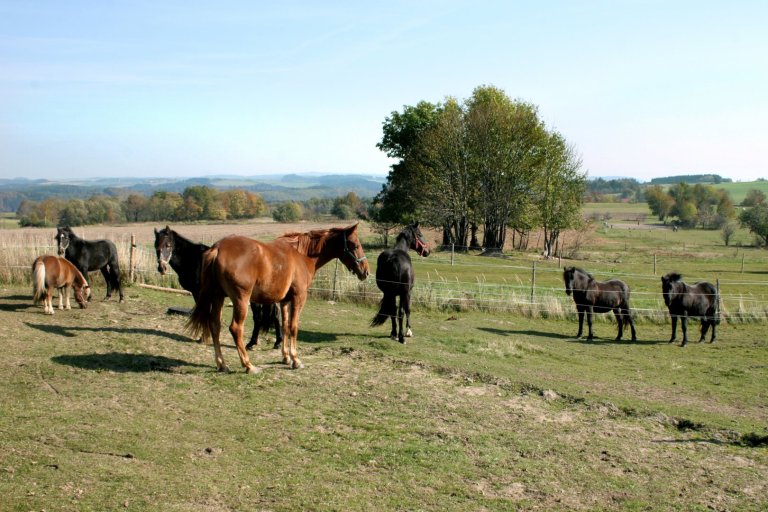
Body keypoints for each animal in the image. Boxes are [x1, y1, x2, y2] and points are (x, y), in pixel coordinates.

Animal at [153, 226, 282, 350]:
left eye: (168, 245)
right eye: (156, 245)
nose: (161, 268)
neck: (193, 259)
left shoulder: (198, 293)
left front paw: (203, 338)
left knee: (260, 317)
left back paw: (259, 343)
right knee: (272, 316)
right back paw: (270, 343)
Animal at [184, 224, 368, 372]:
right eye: (355, 245)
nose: (365, 271)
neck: (302, 255)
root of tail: (218, 248)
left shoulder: (284, 301)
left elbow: (285, 326)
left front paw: (286, 357)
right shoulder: (298, 298)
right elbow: (293, 327)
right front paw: (295, 359)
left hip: (218, 297)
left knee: (215, 325)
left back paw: (222, 364)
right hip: (241, 300)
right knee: (236, 328)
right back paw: (248, 365)